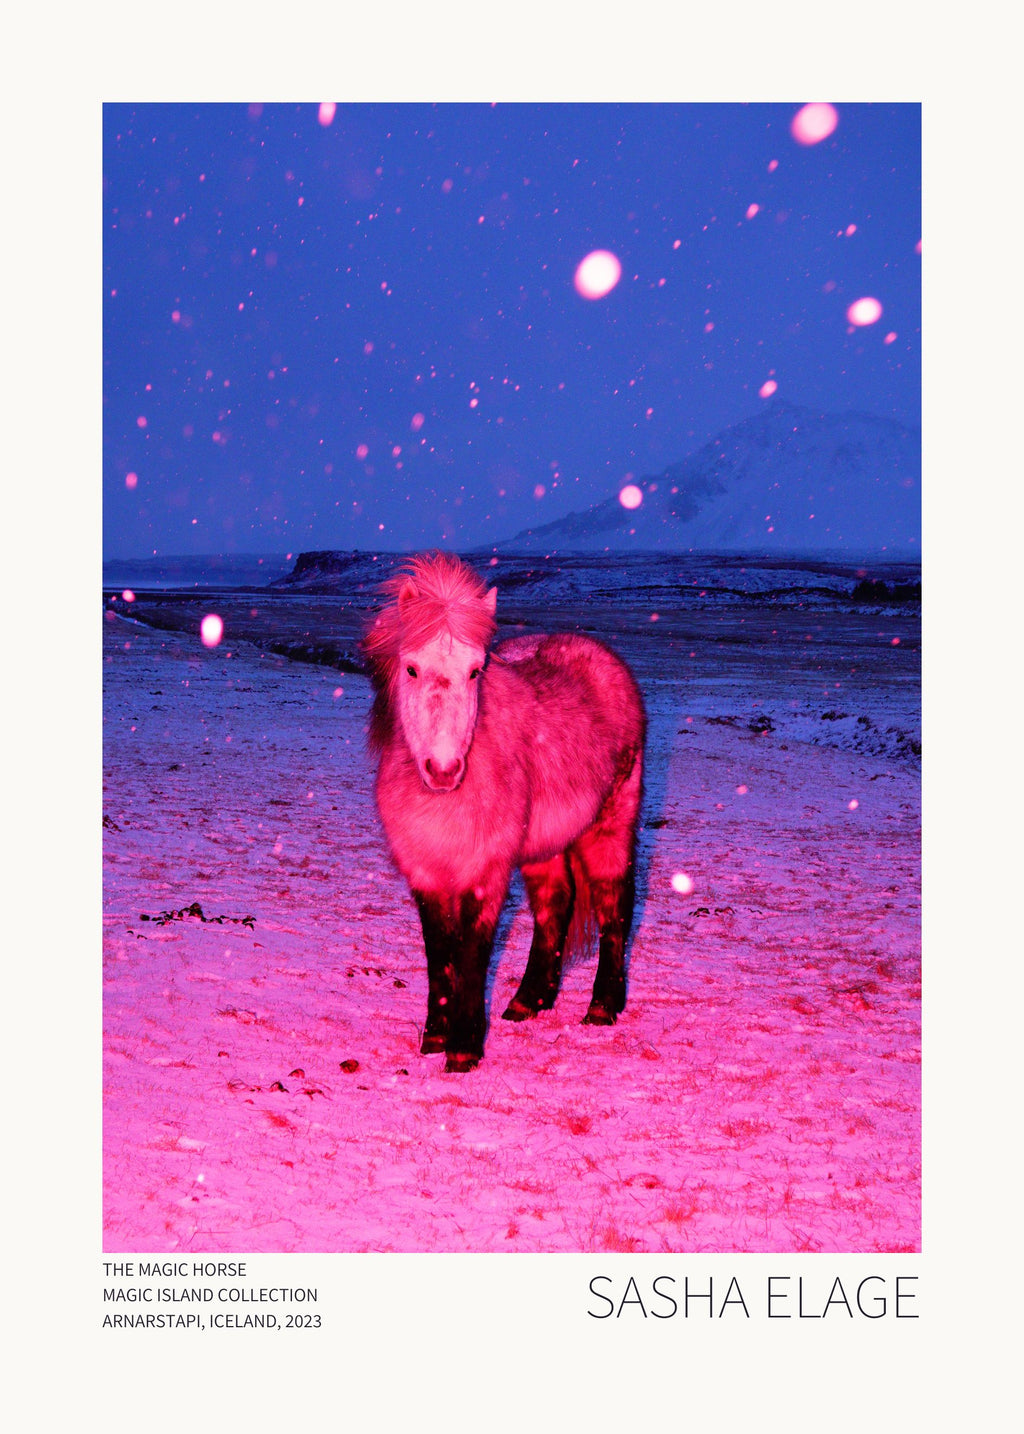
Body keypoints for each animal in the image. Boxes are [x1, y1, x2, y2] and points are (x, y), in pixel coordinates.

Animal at [362, 552, 645, 1072]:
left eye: (476, 671)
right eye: (411, 669)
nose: (444, 770)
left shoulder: (484, 872)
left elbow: (472, 952)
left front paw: (463, 1051)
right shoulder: (425, 873)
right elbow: (440, 953)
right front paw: (435, 1038)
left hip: (609, 825)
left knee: (614, 903)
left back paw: (601, 1008)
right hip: (543, 846)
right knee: (556, 903)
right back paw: (528, 1001)